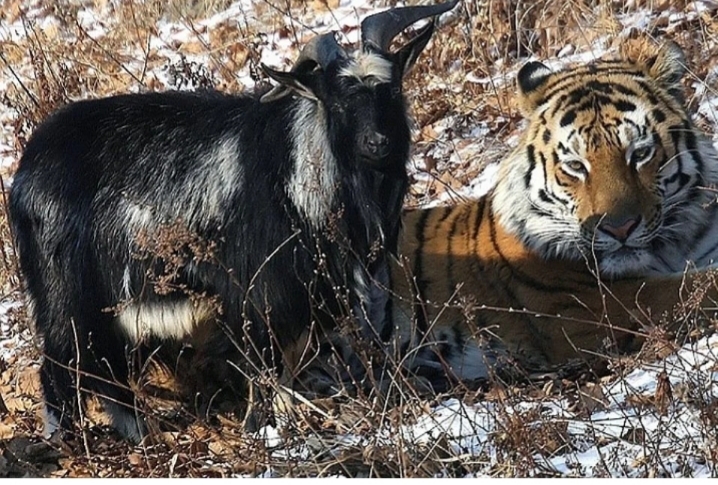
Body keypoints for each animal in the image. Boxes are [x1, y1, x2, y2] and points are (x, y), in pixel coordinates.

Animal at [9, 0, 462, 440]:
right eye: (338, 102)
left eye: (393, 89)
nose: (377, 143)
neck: (297, 167)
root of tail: (26, 170)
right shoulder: (259, 292)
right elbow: (265, 366)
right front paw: (264, 429)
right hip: (67, 296)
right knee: (62, 369)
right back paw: (71, 442)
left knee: (108, 373)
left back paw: (143, 435)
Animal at [390, 40, 718, 382]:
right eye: (575, 165)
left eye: (640, 154)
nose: (619, 228)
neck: (674, 247)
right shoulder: (594, 308)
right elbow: (694, 288)